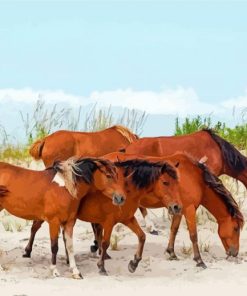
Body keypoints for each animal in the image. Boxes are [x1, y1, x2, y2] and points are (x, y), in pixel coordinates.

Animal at [23, 157, 182, 276]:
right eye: (165, 182)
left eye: (177, 183)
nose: (177, 207)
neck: (127, 190)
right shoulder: (109, 222)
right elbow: (105, 243)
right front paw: (102, 266)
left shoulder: (128, 219)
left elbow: (142, 236)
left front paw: (134, 263)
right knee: (34, 228)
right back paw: (27, 251)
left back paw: (69, 260)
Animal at [89, 153, 244, 268]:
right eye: (236, 228)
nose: (235, 253)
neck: (195, 177)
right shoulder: (189, 209)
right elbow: (193, 235)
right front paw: (199, 260)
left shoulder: (178, 209)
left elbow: (174, 230)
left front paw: (171, 253)